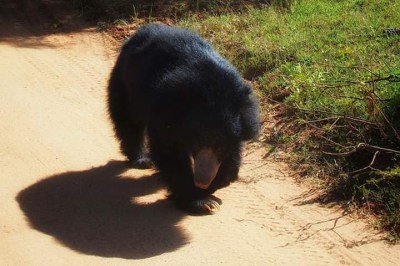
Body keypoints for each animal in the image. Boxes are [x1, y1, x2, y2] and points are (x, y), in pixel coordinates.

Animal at [108, 23, 260, 214]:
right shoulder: (166, 113)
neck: (213, 90)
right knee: (128, 120)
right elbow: (170, 153)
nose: (202, 181)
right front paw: (201, 201)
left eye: (220, 147)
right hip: (127, 84)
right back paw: (141, 159)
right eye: (196, 144)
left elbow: (233, 154)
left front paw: (218, 182)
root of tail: (144, 29)